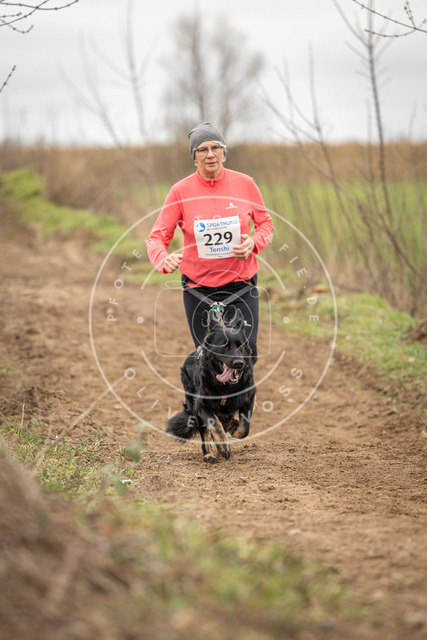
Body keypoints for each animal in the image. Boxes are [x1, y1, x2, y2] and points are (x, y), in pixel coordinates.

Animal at [166, 308, 256, 463]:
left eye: (241, 346)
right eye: (224, 345)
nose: (239, 363)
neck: (226, 386)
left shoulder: (249, 397)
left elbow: (244, 428)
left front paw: (233, 429)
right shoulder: (202, 404)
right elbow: (215, 425)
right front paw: (223, 446)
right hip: (194, 406)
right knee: (205, 432)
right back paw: (209, 454)